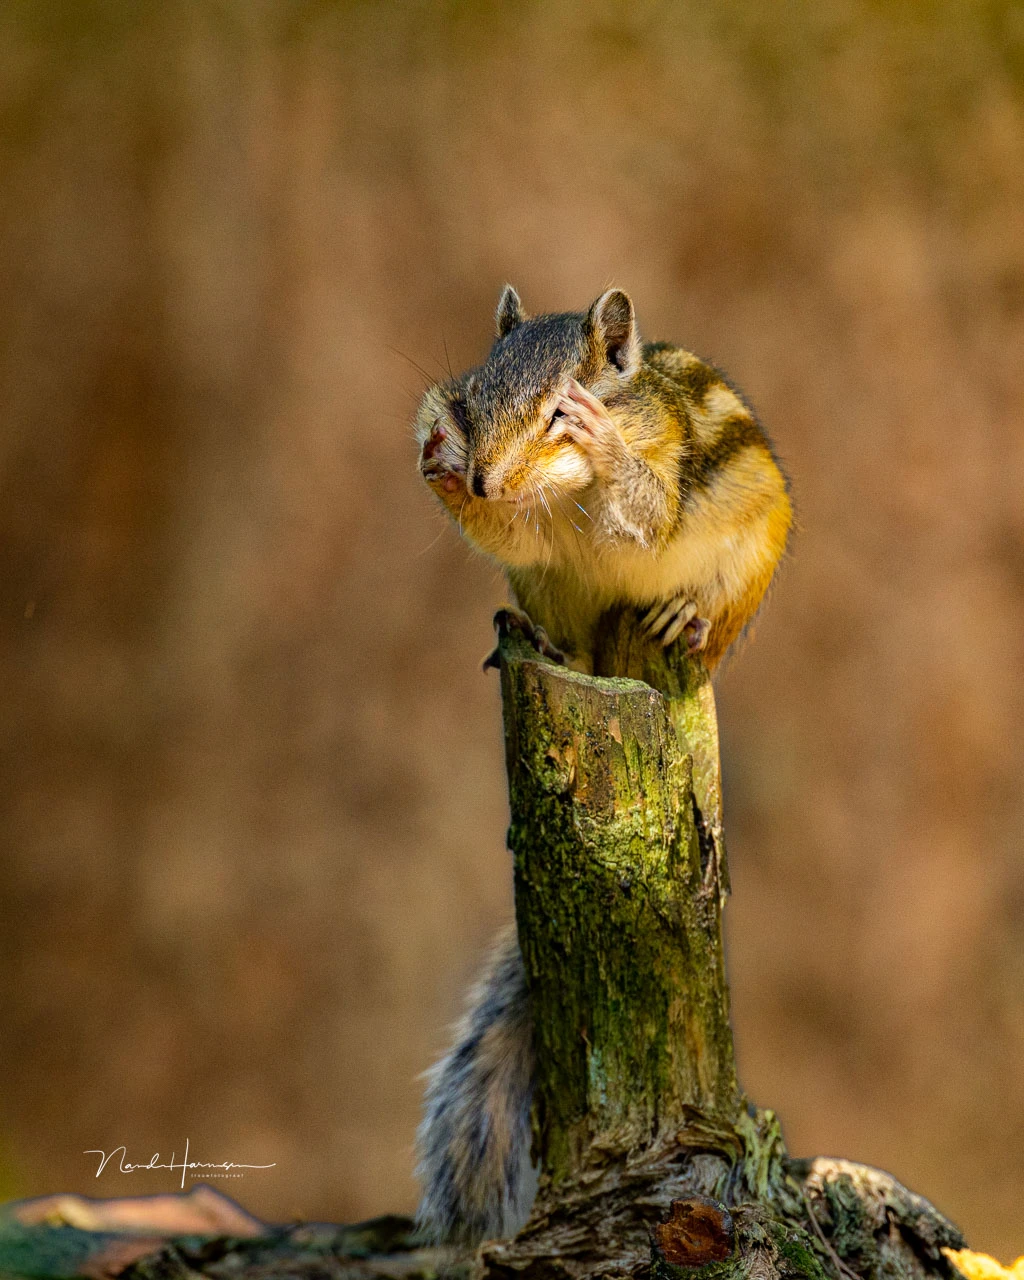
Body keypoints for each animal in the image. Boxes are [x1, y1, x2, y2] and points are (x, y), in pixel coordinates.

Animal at [413, 286, 792, 1243]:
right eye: (475, 395)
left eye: (557, 412)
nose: (482, 473)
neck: (563, 494)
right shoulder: (520, 528)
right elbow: (499, 523)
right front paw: (438, 453)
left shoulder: (656, 469)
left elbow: (646, 510)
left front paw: (603, 441)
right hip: (549, 592)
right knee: (569, 640)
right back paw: (542, 642)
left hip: (749, 562)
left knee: (700, 621)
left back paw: (682, 619)